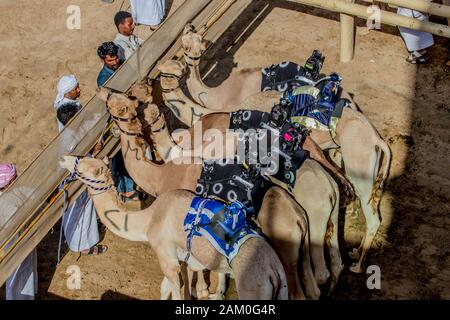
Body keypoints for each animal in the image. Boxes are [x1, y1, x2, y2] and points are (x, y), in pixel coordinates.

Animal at [59, 155, 292, 300]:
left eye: (81, 166)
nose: (63, 158)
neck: (149, 219)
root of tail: (275, 271)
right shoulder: (181, 257)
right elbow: (166, 289)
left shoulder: (166, 257)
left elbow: (175, 291)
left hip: (253, 287)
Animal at [98, 87, 324, 300]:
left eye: (114, 106)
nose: (104, 92)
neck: (159, 176)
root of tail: (299, 218)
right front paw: (213, 290)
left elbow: (183, 272)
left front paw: (203, 290)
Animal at [181, 27, 392, 272]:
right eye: (184, 43)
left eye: (197, 42)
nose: (190, 57)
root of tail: (377, 139)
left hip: (359, 163)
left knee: (371, 213)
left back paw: (357, 264)